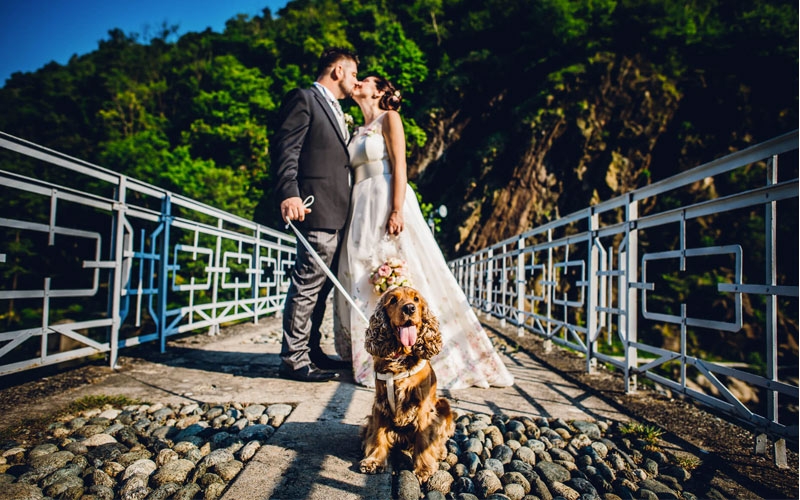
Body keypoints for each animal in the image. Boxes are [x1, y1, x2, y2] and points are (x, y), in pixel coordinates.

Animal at [360, 288, 454, 482]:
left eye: (416, 299)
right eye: (393, 300)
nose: (410, 308)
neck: (400, 358)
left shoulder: (423, 407)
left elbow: (424, 438)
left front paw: (424, 469)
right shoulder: (380, 404)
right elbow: (378, 435)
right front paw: (374, 461)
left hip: (444, 405)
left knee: (439, 438)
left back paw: (440, 452)